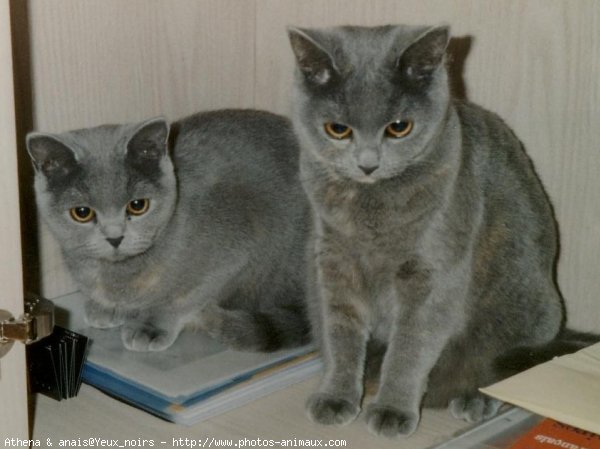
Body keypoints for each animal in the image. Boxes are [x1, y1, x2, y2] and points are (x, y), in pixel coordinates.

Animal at [25, 110, 310, 352]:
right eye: (82, 213)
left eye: (138, 205)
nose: (115, 237)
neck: (118, 274)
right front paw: (105, 308)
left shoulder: (237, 247)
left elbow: (184, 297)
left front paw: (151, 326)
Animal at [288, 24, 596, 438]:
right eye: (337, 130)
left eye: (399, 127)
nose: (368, 163)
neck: (370, 208)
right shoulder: (332, 263)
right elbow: (341, 335)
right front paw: (336, 397)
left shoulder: (432, 273)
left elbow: (410, 348)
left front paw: (392, 410)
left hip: (518, 307)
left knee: (501, 368)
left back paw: (474, 397)